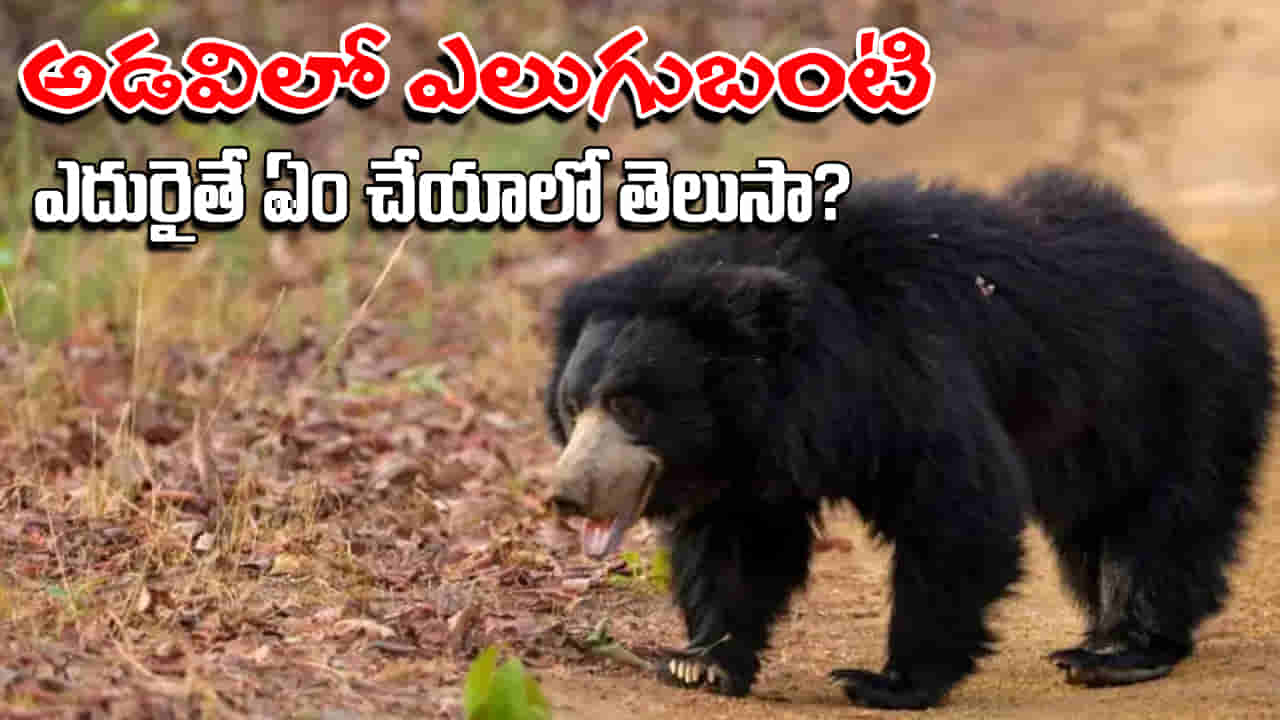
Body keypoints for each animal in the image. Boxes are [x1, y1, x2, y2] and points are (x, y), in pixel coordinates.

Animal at [543, 167, 1275, 709]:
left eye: (631, 406)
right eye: (573, 406)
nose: (566, 496)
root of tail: (1227, 287)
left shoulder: (904, 367)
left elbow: (956, 501)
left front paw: (886, 682)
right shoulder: (752, 453)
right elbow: (741, 541)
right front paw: (699, 663)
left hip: (1180, 394)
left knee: (1158, 523)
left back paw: (1118, 650)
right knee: (1095, 533)